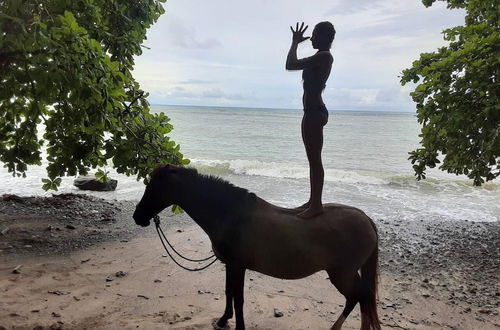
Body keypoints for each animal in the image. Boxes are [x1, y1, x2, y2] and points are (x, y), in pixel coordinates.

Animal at [132, 165, 378, 330]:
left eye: (153, 188)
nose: (137, 217)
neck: (231, 215)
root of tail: (366, 219)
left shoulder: (238, 266)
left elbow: (239, 299)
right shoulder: (230, 266)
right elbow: (228, 293)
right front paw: (223, 320)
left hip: (341, 275)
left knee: (358, 297)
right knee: (362, 297)